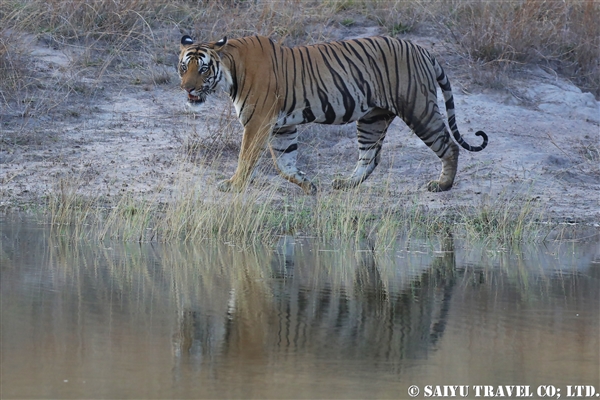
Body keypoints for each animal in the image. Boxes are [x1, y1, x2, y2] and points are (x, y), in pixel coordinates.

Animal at [177, 35, 488, 195]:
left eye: (202, 68)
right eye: (184, 67)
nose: (186, 88)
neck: (230, 68)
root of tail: (423, 49)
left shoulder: (258, 123)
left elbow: (246, 157)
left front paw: (233, 184)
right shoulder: (280, 127)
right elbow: (284, 162)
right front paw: (308, 184)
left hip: (418, 108)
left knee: (448, 145)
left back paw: (443, 184)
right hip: (373, 118)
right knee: (369, 158)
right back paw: (345, 184)